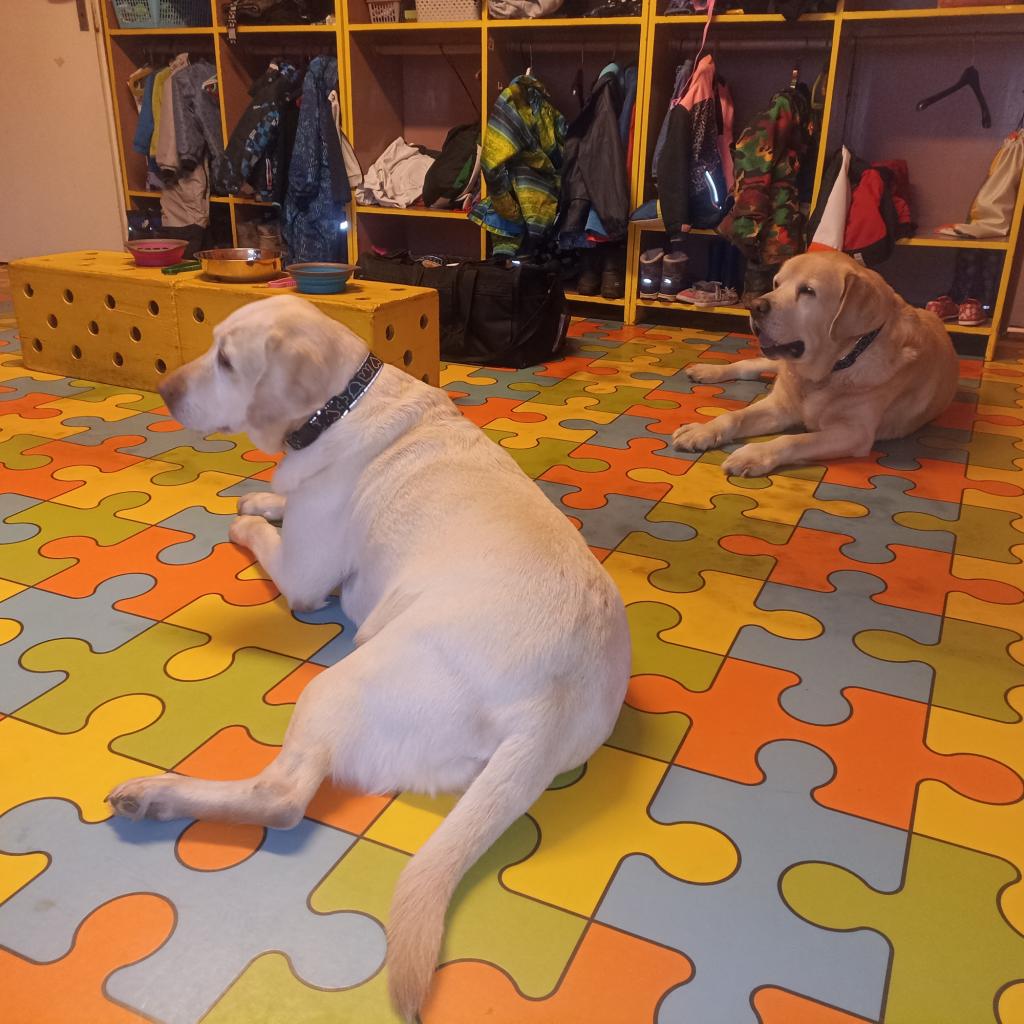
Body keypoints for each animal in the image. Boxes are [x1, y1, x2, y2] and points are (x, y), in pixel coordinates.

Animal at [106, 295, 631, 1020]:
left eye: (227, 361)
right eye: (210, 346)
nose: (163, 389)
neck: (341, 404)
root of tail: (551, 704)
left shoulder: (302, 572)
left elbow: (270, 538)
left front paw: (248, 517)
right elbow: (278, 496)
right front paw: (261, 495)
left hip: (338, 686)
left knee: (282, 797)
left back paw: (155, 795)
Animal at [672, 251, 959, 476]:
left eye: (808, 291)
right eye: (776, 283)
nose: (754, 305)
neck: (835, 366)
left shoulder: (854, 433)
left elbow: (793, 440)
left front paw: (752, 454)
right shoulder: (780, 406)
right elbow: (734, 415)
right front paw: (702, 431)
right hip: (777, 365)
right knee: (749, 364)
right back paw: (707, 370)